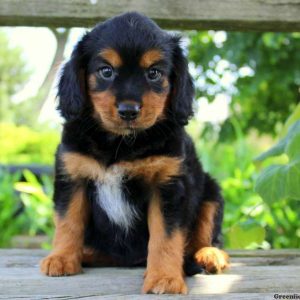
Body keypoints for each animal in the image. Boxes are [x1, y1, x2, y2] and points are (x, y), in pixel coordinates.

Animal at [39, 12, 227, 296]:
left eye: (154, 73)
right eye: (106, 71)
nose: (129, 110)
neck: (121, 143)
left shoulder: (167, 186)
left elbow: (165, 237)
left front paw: (164, 278)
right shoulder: (73, 177)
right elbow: (68, 221)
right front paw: (61, 257)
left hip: (211, 193)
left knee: (206, 233)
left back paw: (209, 255)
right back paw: (87, 253)